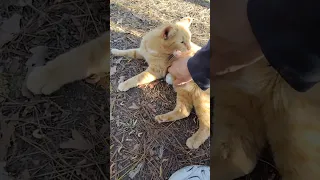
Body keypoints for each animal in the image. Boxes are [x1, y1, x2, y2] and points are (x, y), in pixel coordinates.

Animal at [111, 17, 211, 149]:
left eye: (190, 40)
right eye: (182, 42)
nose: (189, 49)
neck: (153, 46)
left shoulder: (155, 71)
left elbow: (137, 78)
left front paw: (124, 84)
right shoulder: (140, 52)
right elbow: (128, 52)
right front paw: (115, 51)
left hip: (202, 101)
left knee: (207, 125)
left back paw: (194, 141)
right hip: (183, 92)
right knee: (184, 111)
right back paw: (162, 118)